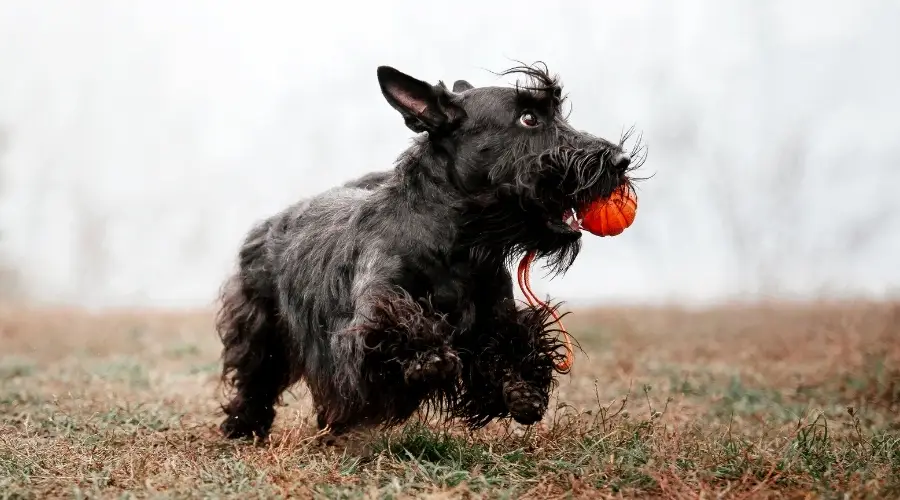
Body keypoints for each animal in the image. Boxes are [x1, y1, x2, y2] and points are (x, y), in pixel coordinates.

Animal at [215, 62, 644, 442]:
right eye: (528, 119)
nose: (620, 161)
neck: (460, 244)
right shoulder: (372, 316)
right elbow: (402, 328)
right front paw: (431, 360)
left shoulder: (496, 317)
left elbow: (513, 343)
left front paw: (524, 391)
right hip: (262, 326)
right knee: (257, 379)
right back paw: (244, 427)